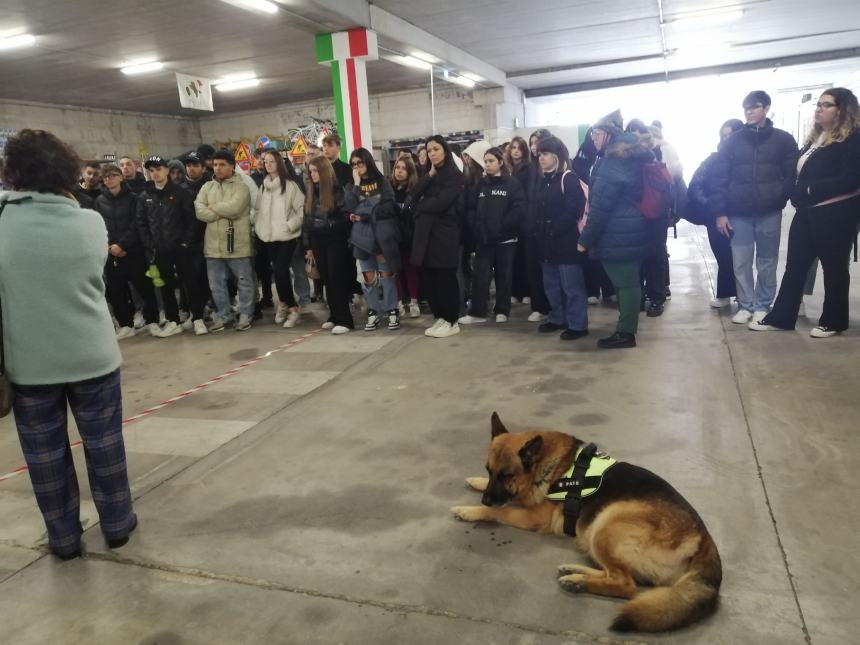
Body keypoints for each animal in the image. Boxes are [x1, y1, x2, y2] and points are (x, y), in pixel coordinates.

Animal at [454, 412, 724, 628]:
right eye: (489, 471)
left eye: (506, 475)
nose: (485, 500)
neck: (547, 463)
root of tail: (704, 541)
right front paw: (475, 481)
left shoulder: (533, 516)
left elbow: (500, 512)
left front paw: (468, 510)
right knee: (616, 573)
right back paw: (575, 573)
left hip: (606, 525)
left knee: (627, 584)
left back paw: (580, 582)